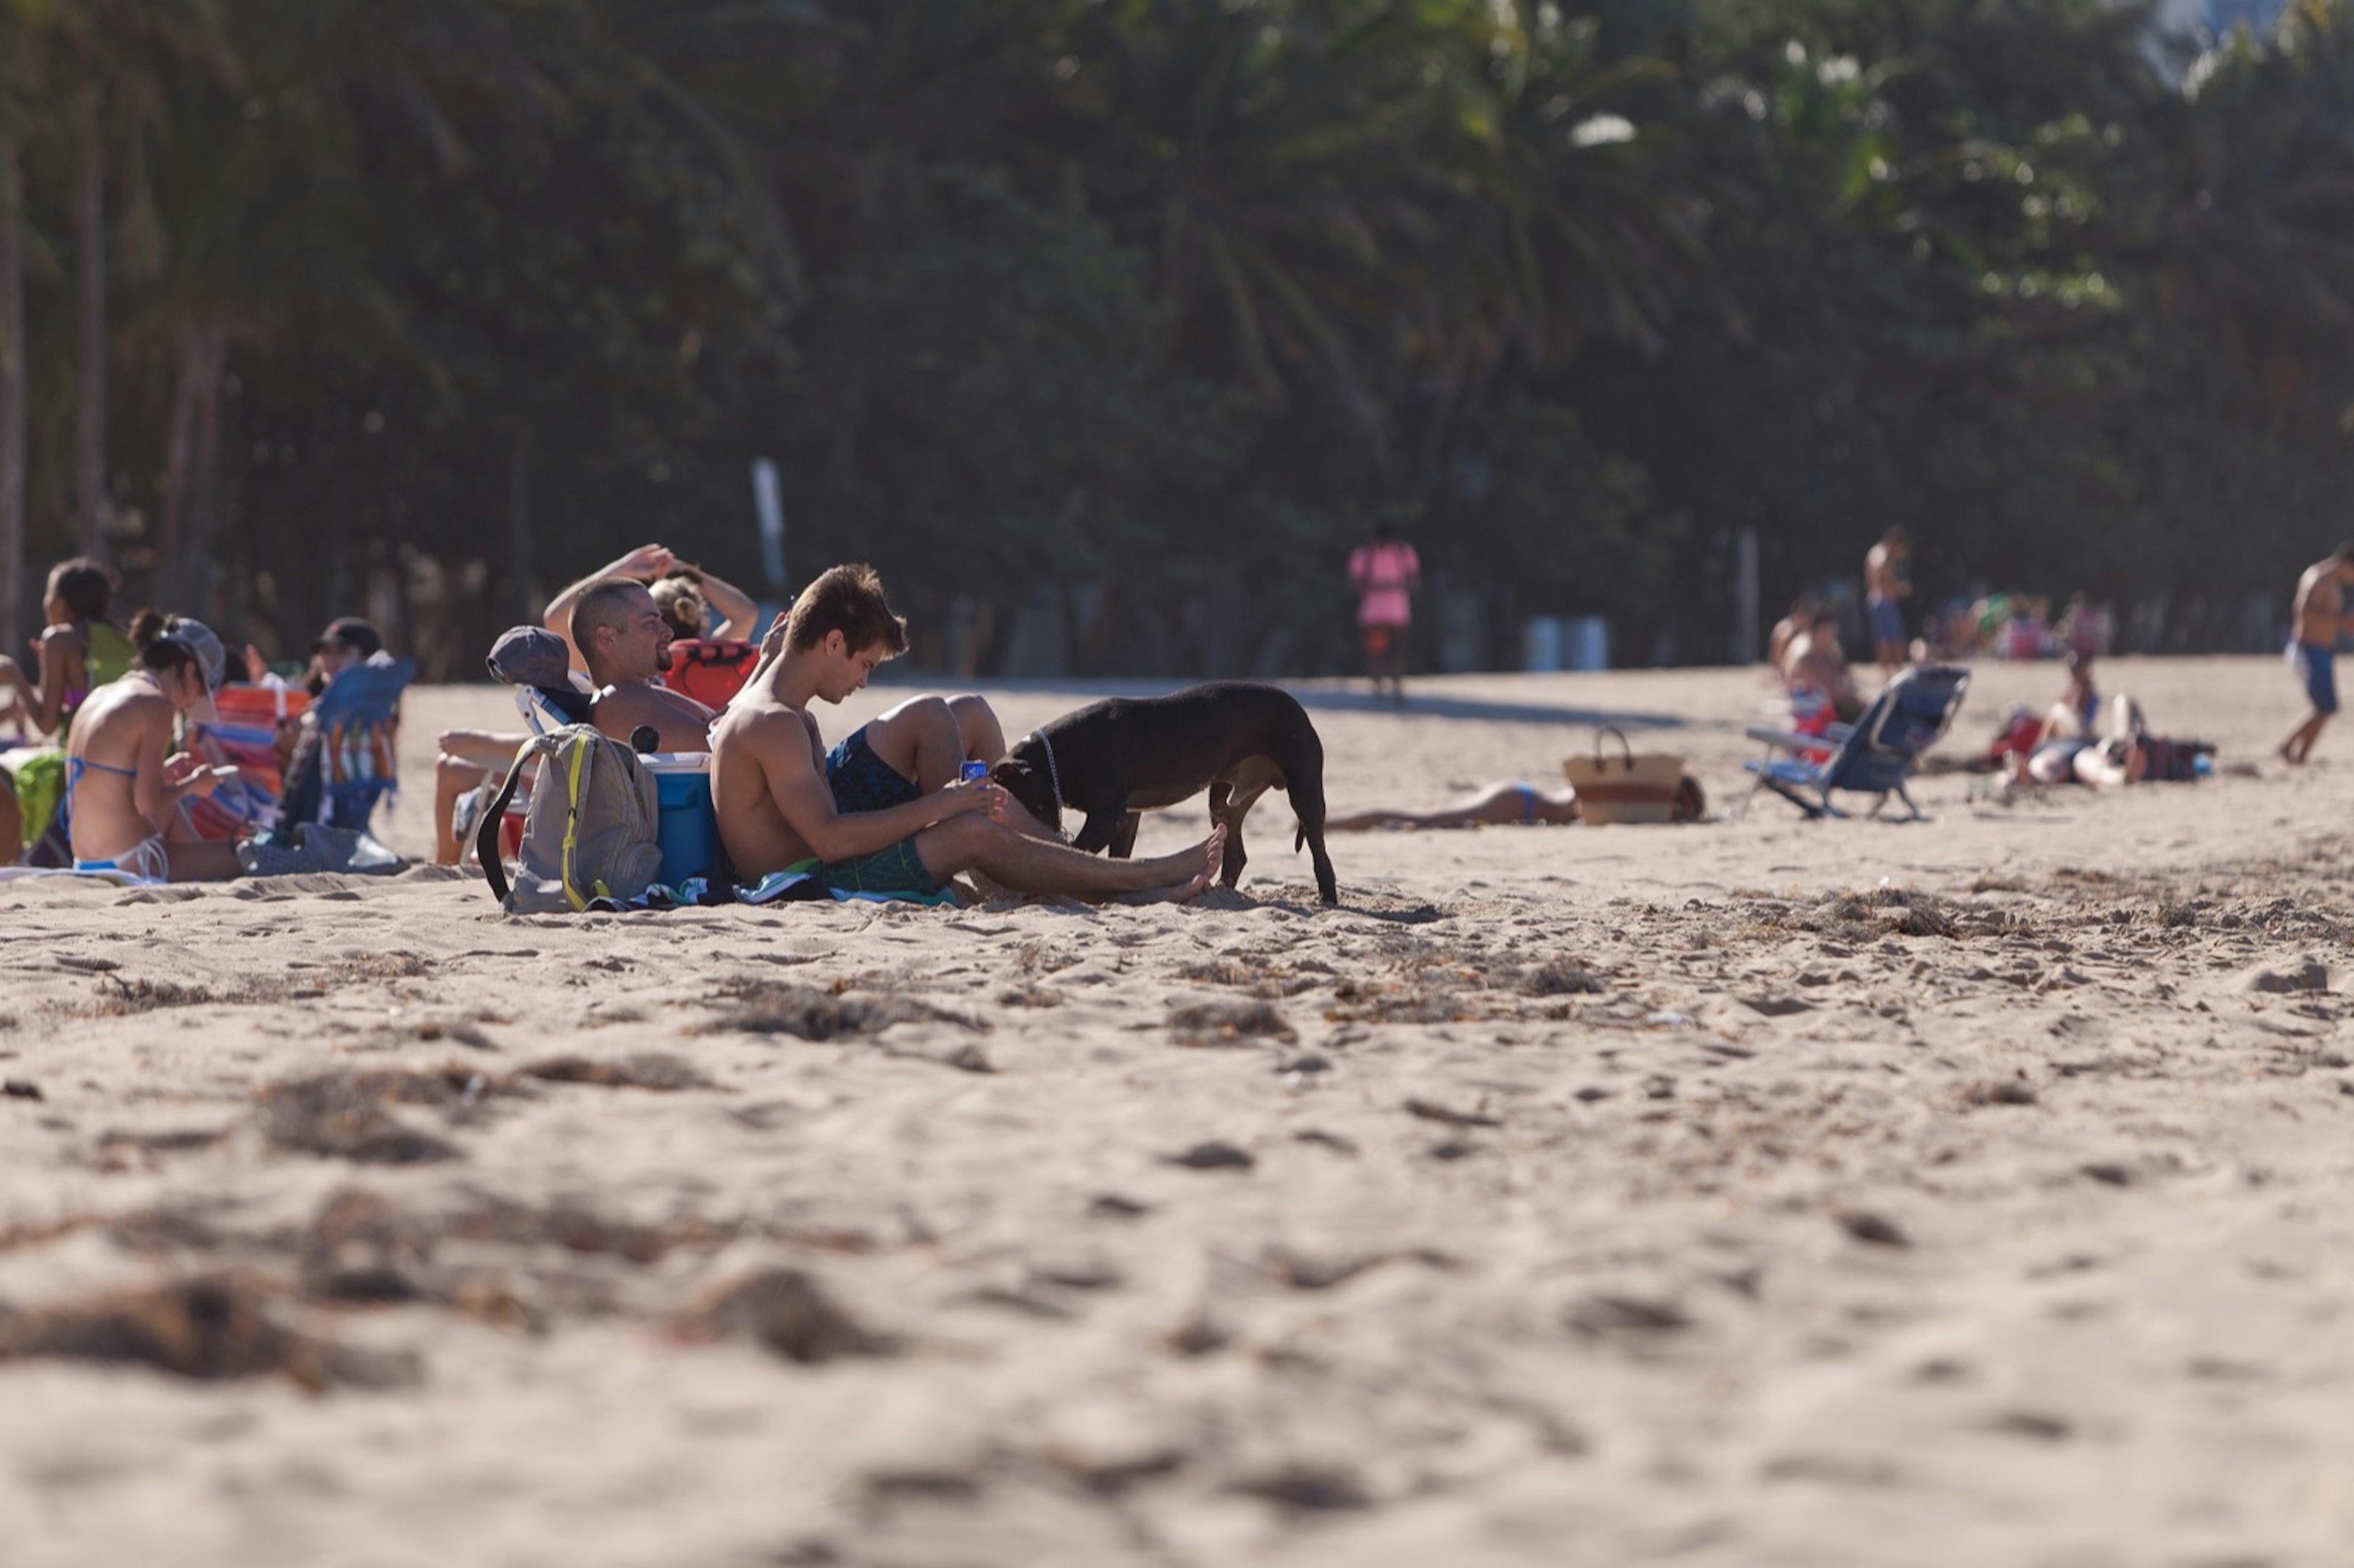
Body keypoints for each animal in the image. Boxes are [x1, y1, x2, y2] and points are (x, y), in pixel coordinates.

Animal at [984, 678, 1337, 899]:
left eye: (1034, 805)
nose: (1046, 833)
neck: (1056, 757)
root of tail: (1297, 706)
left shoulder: (1108, 817)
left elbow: (1080, 850)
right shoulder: (1127, 816)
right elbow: (1117, 859)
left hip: (1304, 788)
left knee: (1320, 852)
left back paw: (1328, 897)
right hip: (1225, 800)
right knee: (1235, 852)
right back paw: (1222, 892)